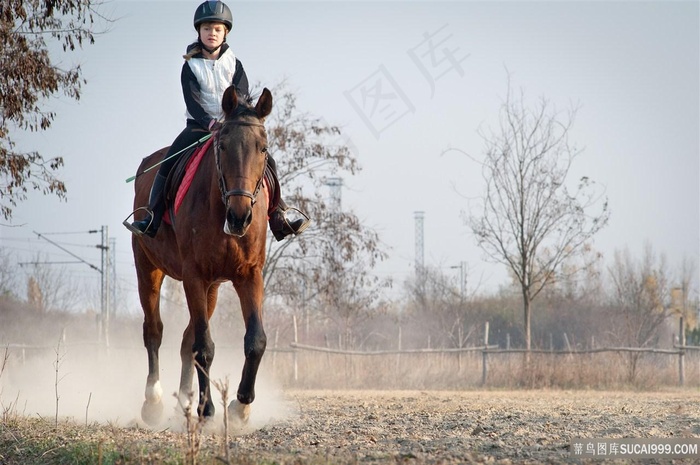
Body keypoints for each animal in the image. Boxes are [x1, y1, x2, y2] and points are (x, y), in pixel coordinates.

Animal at [129, 84, 270, 424]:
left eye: (262, 148)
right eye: (223, 146)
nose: (240, 216)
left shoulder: (249, 276)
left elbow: (255, 340)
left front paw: (240, 406)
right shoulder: (194, 276)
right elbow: (203, 346)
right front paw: (208, 409)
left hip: (213, 288)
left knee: (184, 340)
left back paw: (184, 402)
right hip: (148, 268)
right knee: (154, 331)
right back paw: (153, 402)